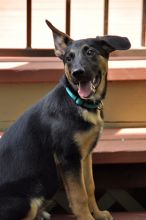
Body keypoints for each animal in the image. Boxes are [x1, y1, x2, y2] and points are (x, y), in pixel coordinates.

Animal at [0, 21, 131, 220]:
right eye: (68, 58)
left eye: (90, 52)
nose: (77, 73)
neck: (79, 103)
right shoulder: (68, 157)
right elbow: (79, 197)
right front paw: (87, 218)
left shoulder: (84, 155)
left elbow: (89, 187)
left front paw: (98, 214)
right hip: (28, 196)